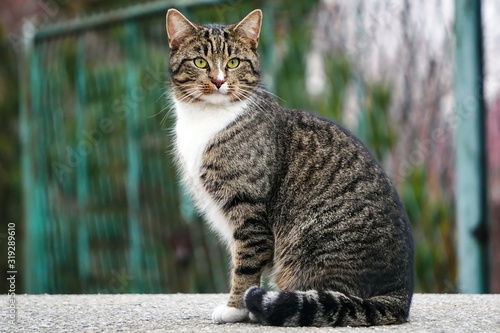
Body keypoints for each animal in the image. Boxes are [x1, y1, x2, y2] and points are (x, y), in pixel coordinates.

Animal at [165, 8, 414, 326]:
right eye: (200, 62)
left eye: (233, 62)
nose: (219, 81)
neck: (206, 118)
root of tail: (401, 294)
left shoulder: (249, 211)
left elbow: (245, 267)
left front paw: (235, 308)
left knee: (333, 298)